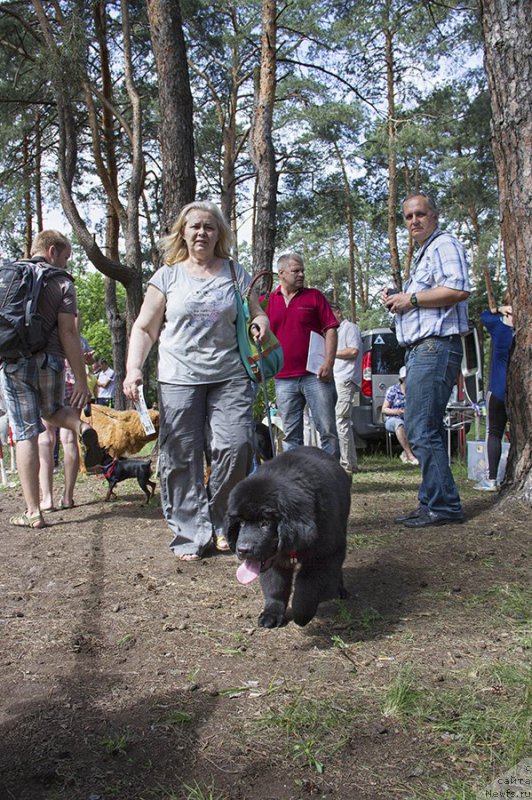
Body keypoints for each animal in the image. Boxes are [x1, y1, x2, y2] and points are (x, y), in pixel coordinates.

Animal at [224, 446, 354, 628]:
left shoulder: (323, 555)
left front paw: (301, 615)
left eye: (265, 523)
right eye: (241, 523)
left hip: (340, 533)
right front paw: (271, 615)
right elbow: (275, 588)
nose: (243, 550)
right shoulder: (274, 563)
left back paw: (339, 589)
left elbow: (307, 587)